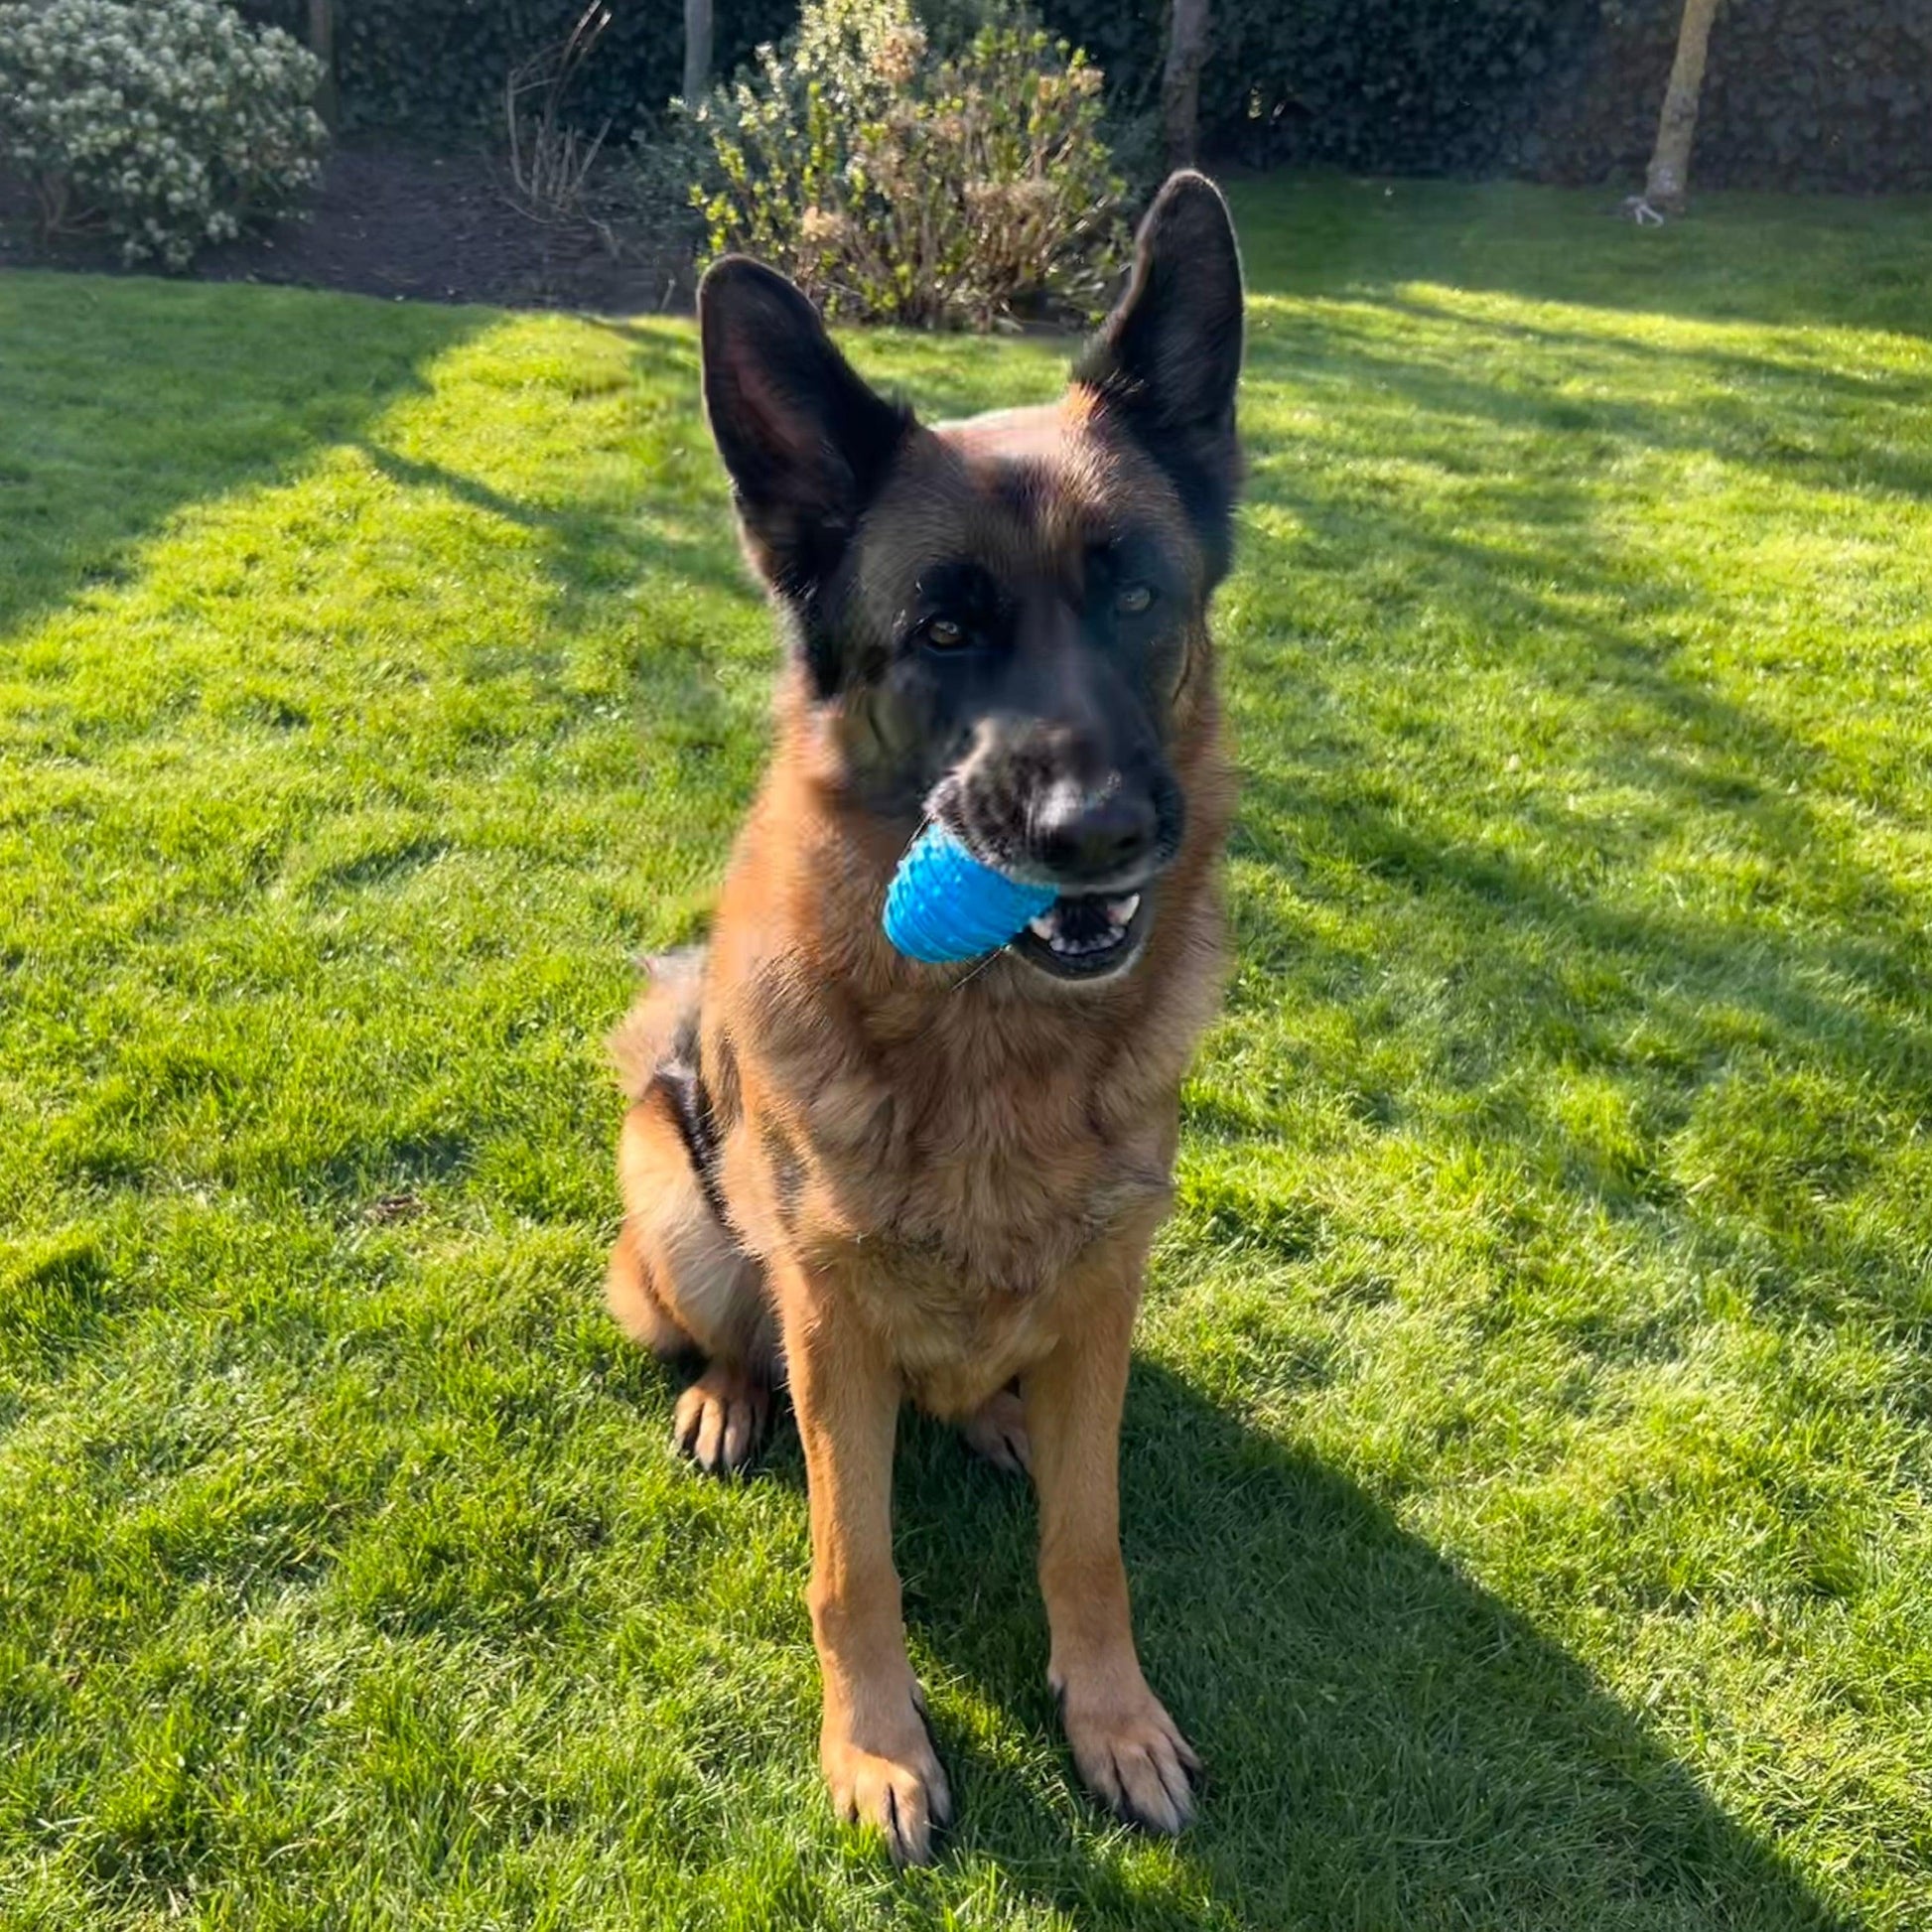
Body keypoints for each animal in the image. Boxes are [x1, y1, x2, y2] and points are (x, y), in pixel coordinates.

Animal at [603, 174, 1244, 1862]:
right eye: (943, 632)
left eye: (1135, 593)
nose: (1095, 832)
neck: (997, 1041)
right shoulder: (831, 1318)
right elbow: (855, 1562)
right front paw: (876, 1746)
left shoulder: (1108, 1284)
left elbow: (1089, 1543)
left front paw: (1112, 1717)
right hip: (676, 1203)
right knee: (741, 1337)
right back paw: (725, 1400)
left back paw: (1001, 1416)